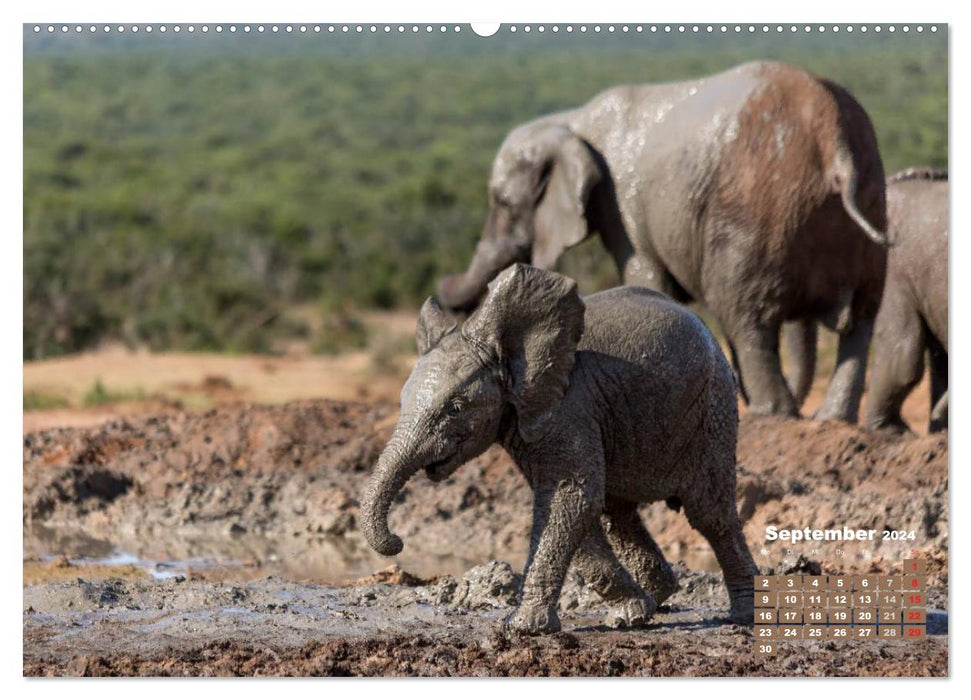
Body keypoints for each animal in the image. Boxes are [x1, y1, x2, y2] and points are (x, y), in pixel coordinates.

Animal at [362, 264, 760, 636]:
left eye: (456, 408)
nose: (397, 541)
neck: (506, 353)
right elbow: (573, 503)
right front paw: (633, 612)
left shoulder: (570, 406)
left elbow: (569, 496)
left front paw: (520, 628)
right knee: (618, 512)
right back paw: (650, 604)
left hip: (713, 407)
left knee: (710, 513)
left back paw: (742, 616)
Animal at [440, 60, 888, 422]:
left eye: (502, 202)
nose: (444, 288)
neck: (571, 122)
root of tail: (834, 140)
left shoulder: (621, 202)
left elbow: (646, 277)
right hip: (863, 201)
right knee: (861, 319)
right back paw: (829, 420)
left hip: (757, 213)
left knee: (744, 314)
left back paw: (771, 416)